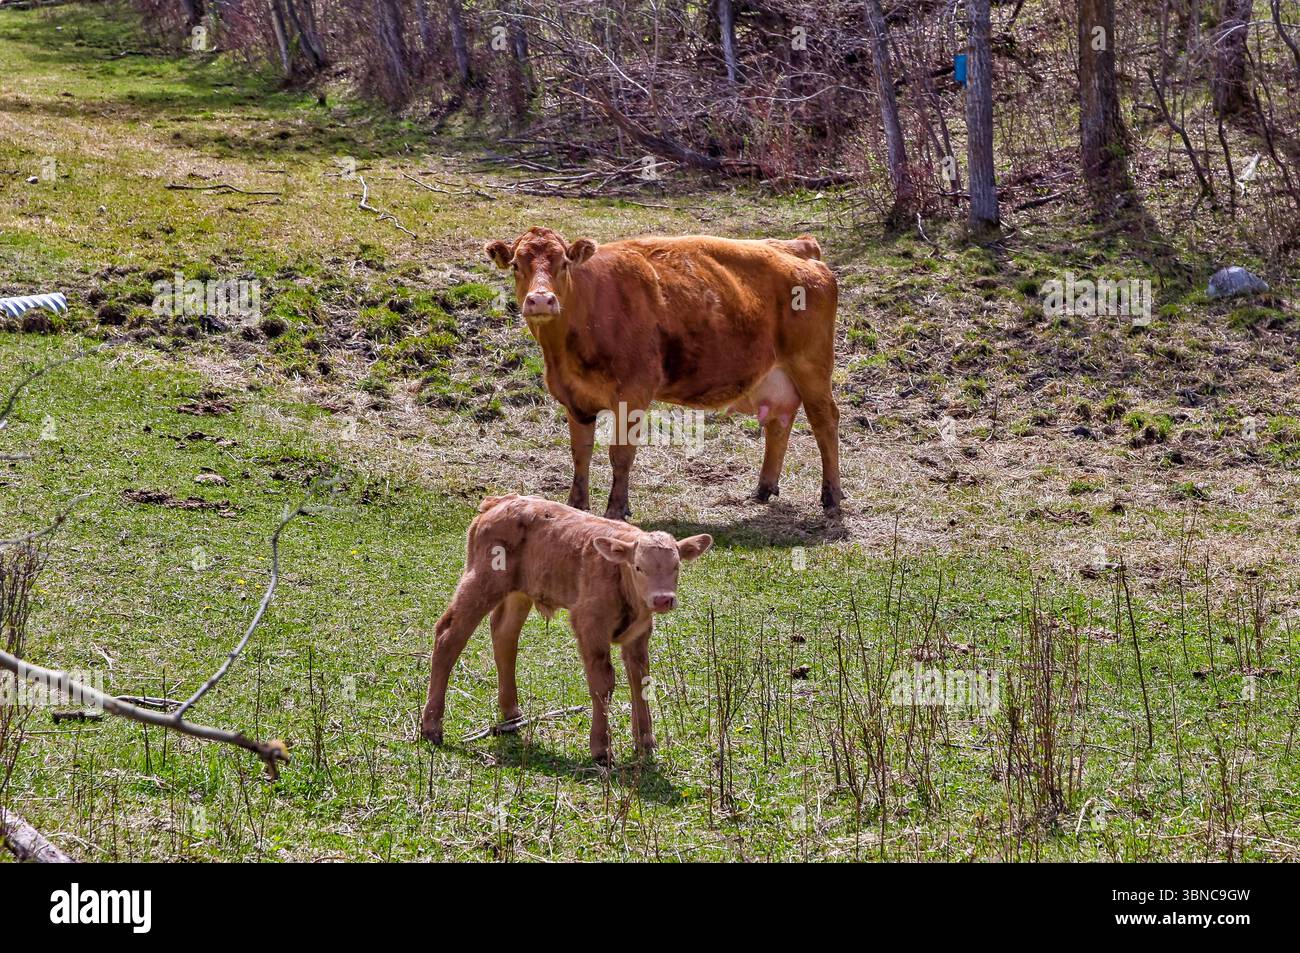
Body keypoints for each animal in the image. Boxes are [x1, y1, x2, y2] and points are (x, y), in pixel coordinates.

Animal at [420, 494, 713, 764]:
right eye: (639, 567)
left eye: (676, 566)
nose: (663, 599)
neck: (620, 576)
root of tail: (499, 502)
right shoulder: (589, 626)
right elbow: (603, 681)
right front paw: (601, 749)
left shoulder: (639, 634)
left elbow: (640, 678)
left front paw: (646, 742)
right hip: (482, 581)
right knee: (449, 635)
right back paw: (431, 727)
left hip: (519, 592)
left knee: (504, 635)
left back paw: (511, 713)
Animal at [483, 227, 844, 520]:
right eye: (516, 265)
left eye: (564, 263)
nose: (541, 300)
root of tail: (794, 246)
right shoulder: (575, 401)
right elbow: (580, 453)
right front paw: (576, 505)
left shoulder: (632, 394)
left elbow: (620, 454)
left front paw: (616, 509)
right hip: (777, 374)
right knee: (779, 421)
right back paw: (764, 489)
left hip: (811, 366)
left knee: (824, 421)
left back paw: (831, 497)